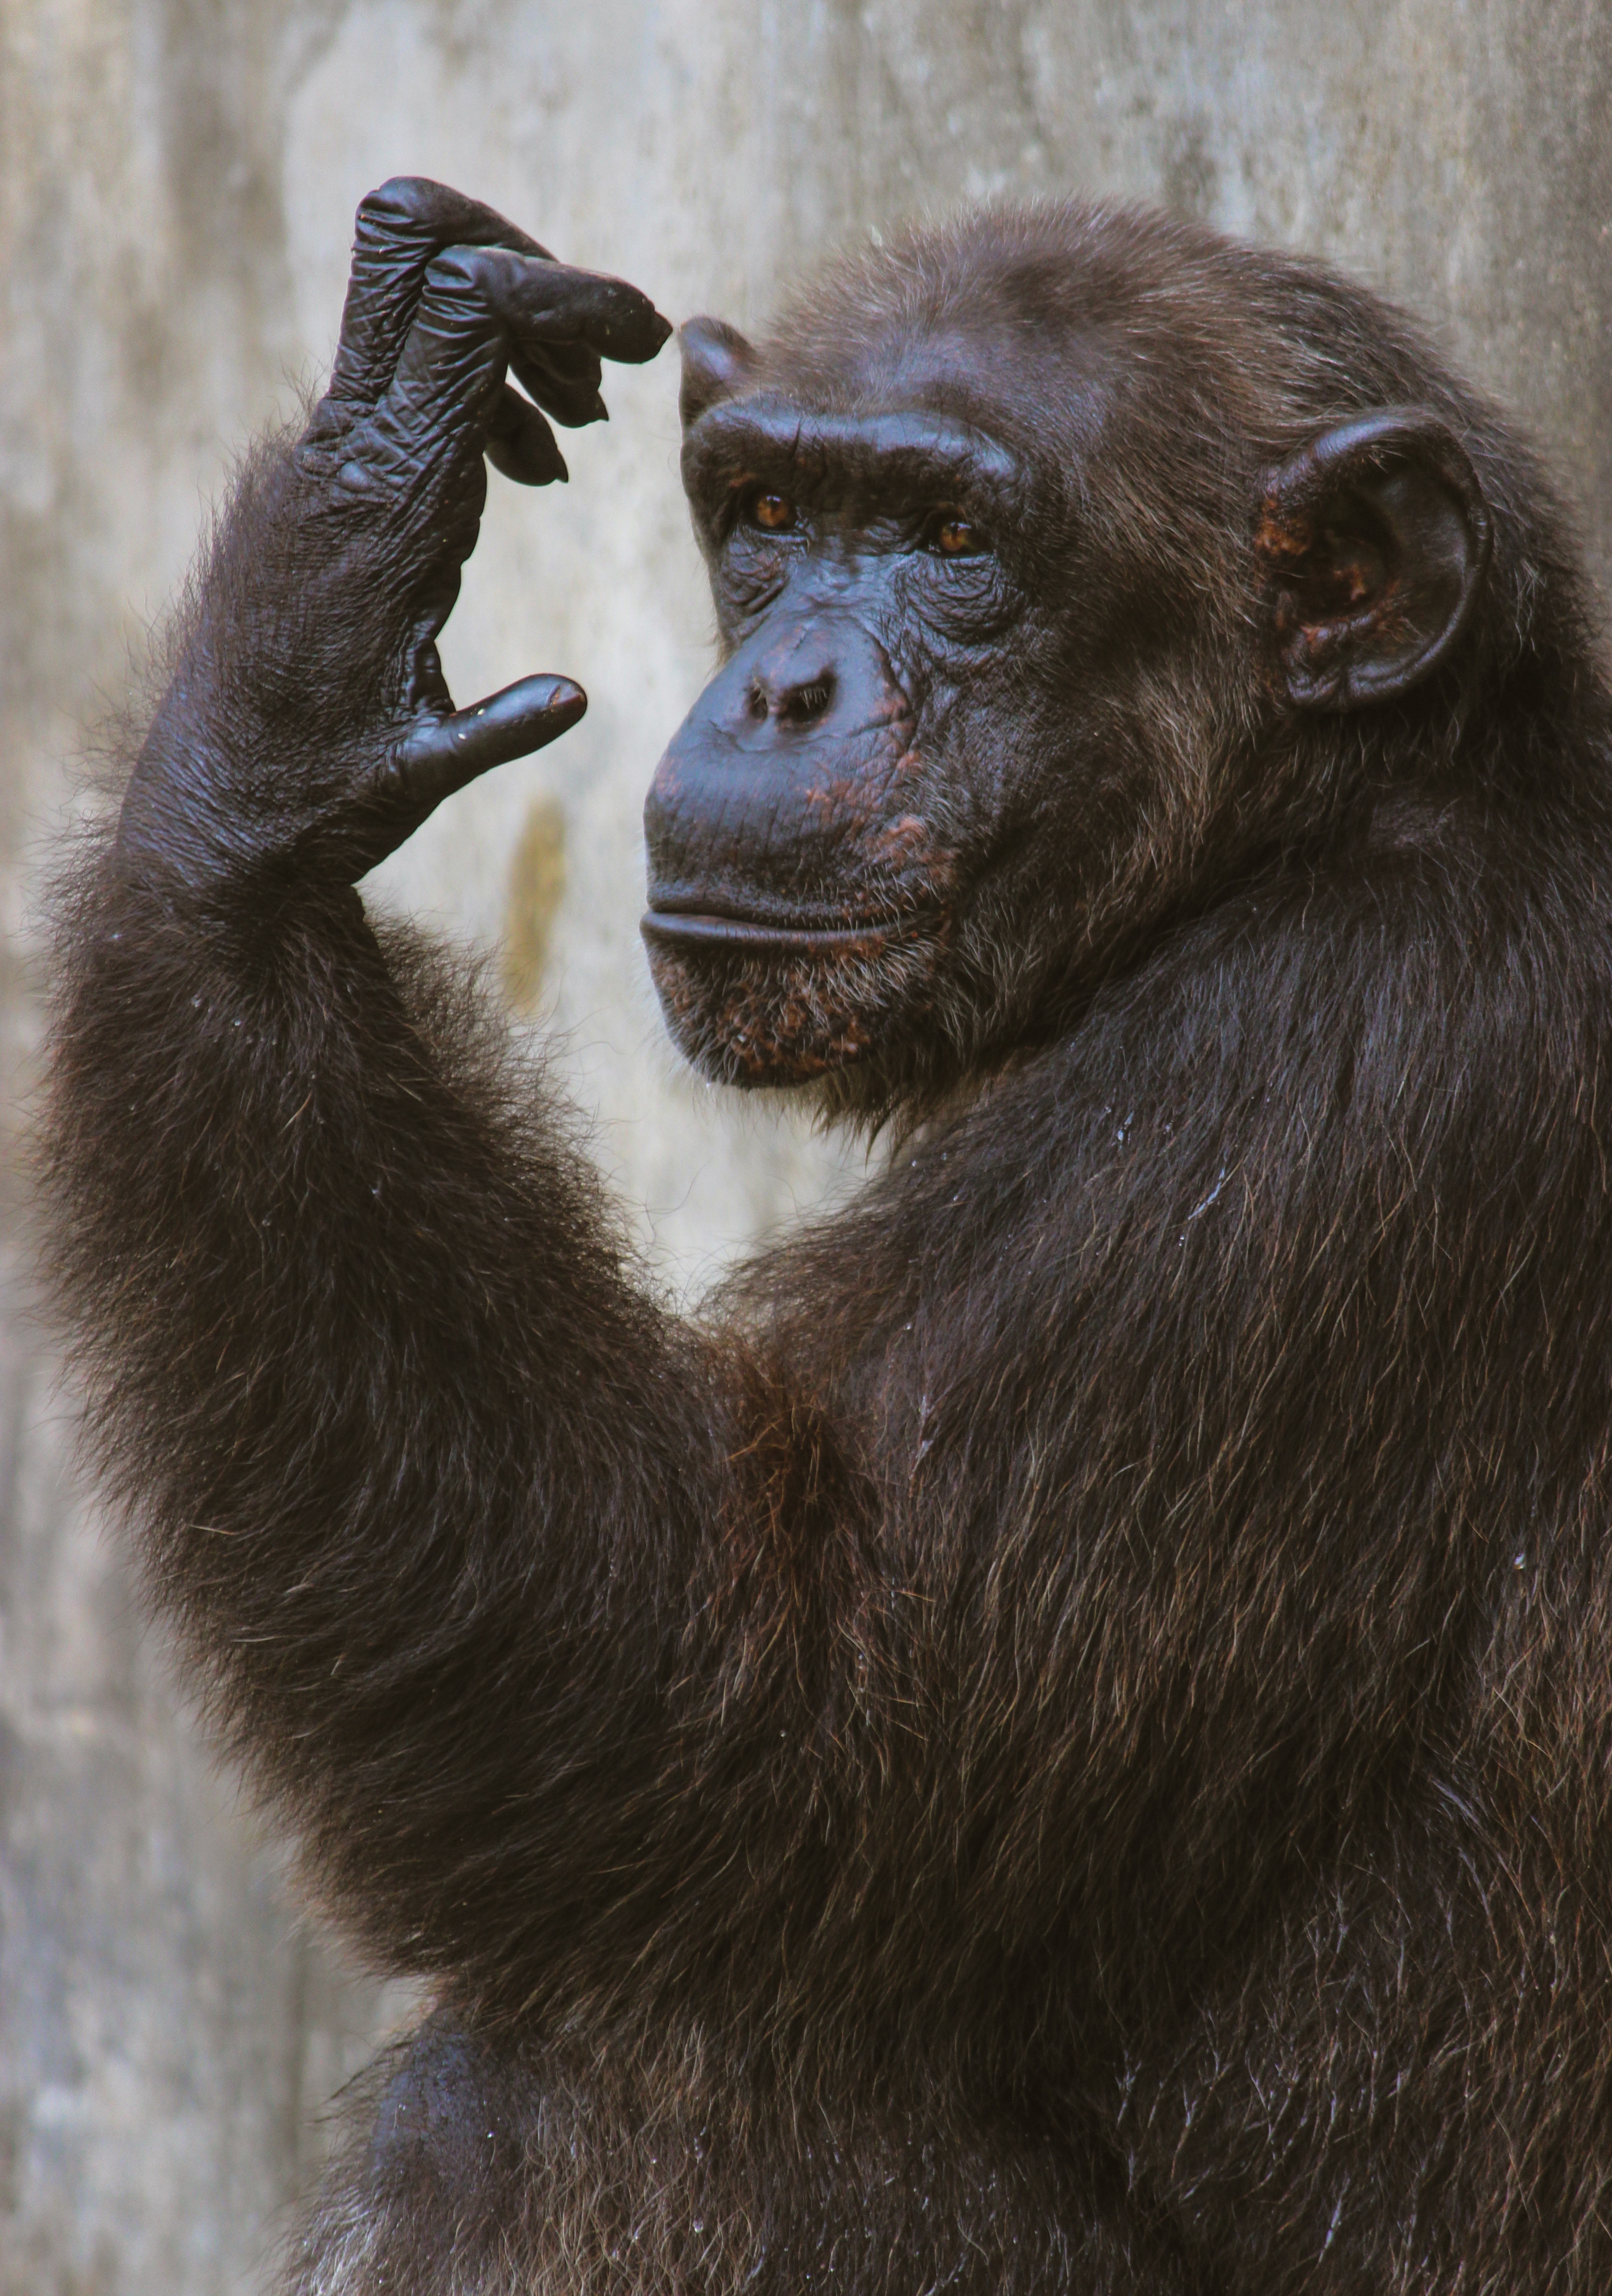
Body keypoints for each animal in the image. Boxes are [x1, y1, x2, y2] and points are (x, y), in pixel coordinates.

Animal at [40, 175, 1612, 2293]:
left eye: (954, 544)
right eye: (773, 517)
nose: (785, 687)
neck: (1314, 831)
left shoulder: (1346, 1073)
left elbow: (772, 1700)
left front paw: (288, 681)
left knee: (587, 2079)